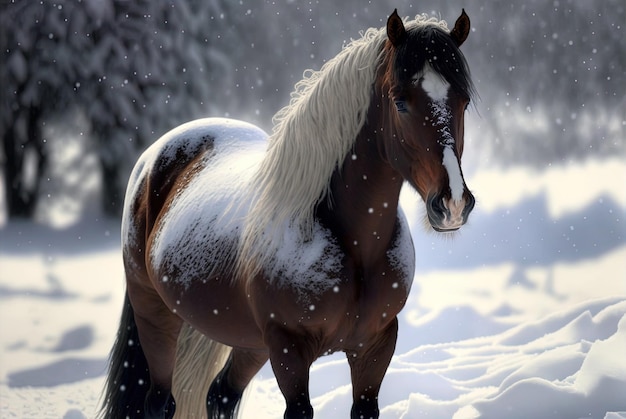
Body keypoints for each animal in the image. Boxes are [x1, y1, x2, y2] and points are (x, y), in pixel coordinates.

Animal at [100, 9, 476, 419]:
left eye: (463, 102)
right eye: (401, 102)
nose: (454, 203)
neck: (352, 245)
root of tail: (156, 155)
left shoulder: (375, 347)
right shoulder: (289, 350)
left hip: (247, 342)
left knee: (220, 394)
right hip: (155, 313)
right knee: (159, 402)